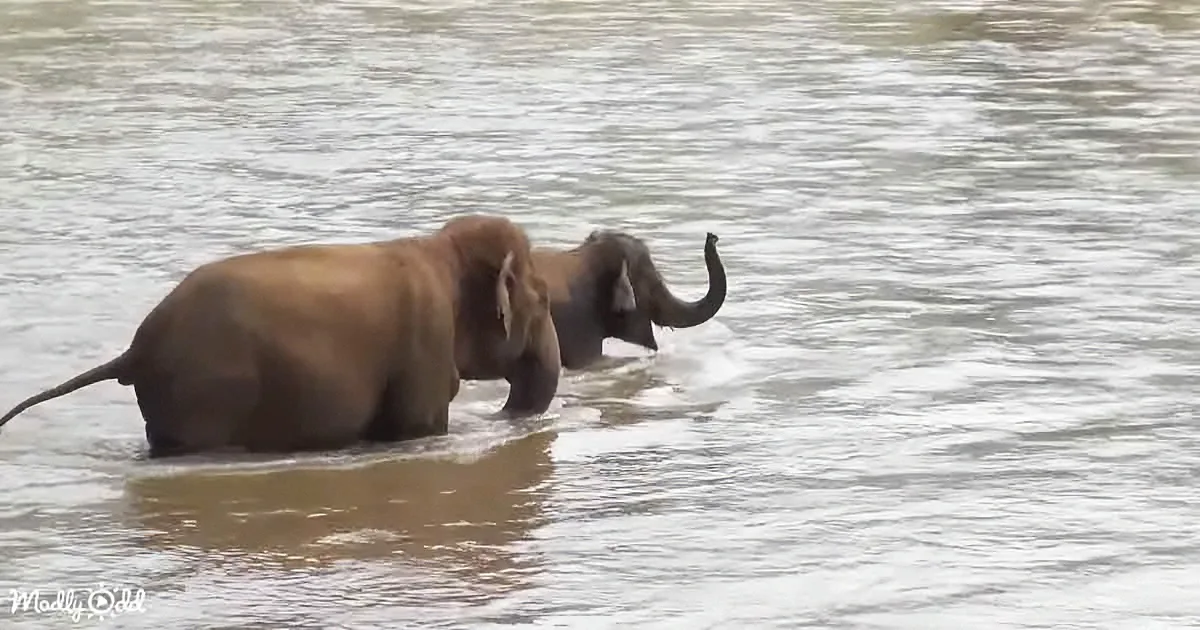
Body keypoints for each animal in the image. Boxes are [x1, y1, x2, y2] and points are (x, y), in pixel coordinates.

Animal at [0, 214, 562, 458]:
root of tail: (136, 350)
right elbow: (416, 426)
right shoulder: (426, 338)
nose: (504, 417)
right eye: (544, 301)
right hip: (204, 395)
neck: (441, 249)